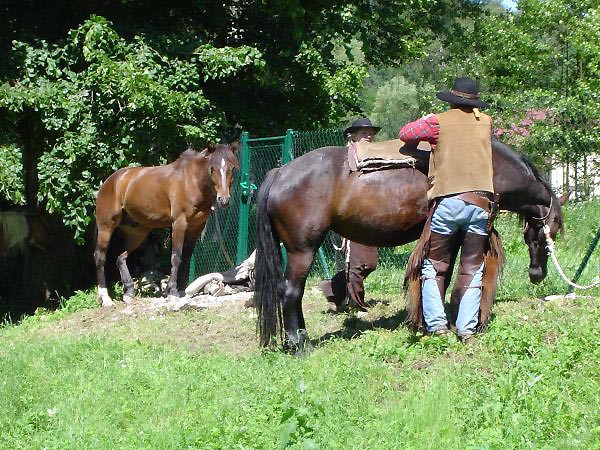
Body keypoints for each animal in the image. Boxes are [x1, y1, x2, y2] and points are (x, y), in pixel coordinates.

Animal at [94, 142, 239, 308]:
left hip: (137, 232)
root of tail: (110, 182)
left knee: (121, 257)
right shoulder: (179, 223)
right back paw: (105, 298)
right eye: (212, 168)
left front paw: (181, 290)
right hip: (106, 226)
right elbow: (176, 257)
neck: (192, 182)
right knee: (100, 257)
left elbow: (186, 257)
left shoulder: (196, 228)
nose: (224, 200)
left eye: (232, 168)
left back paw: (129, 292)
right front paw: (172, 292)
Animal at [255, 140, 564, 348]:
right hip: (302, 251)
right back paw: (298, 345)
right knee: (291, 292)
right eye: (549, 234)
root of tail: (280, 172)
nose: (537, 274)